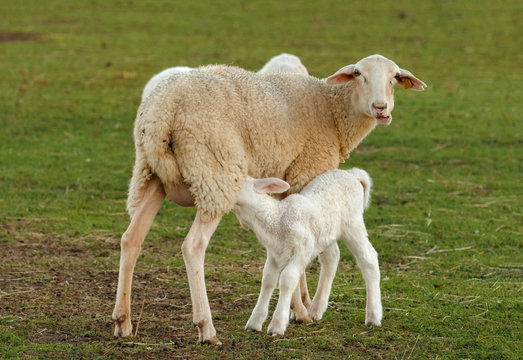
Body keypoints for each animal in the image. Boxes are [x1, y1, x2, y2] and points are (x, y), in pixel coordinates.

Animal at [234, 168, 380, 334]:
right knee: (332, 257)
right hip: (326, 232)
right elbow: (268, 279)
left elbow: (287, 280)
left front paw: (277, 324)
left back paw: (373, 316)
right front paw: (255, 322)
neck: (277, 218)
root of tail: (352, 174)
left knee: (369, 258)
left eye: (236, 180)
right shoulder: (274, 254)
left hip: (353, 223)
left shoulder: (302, 250)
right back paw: (316, 309)